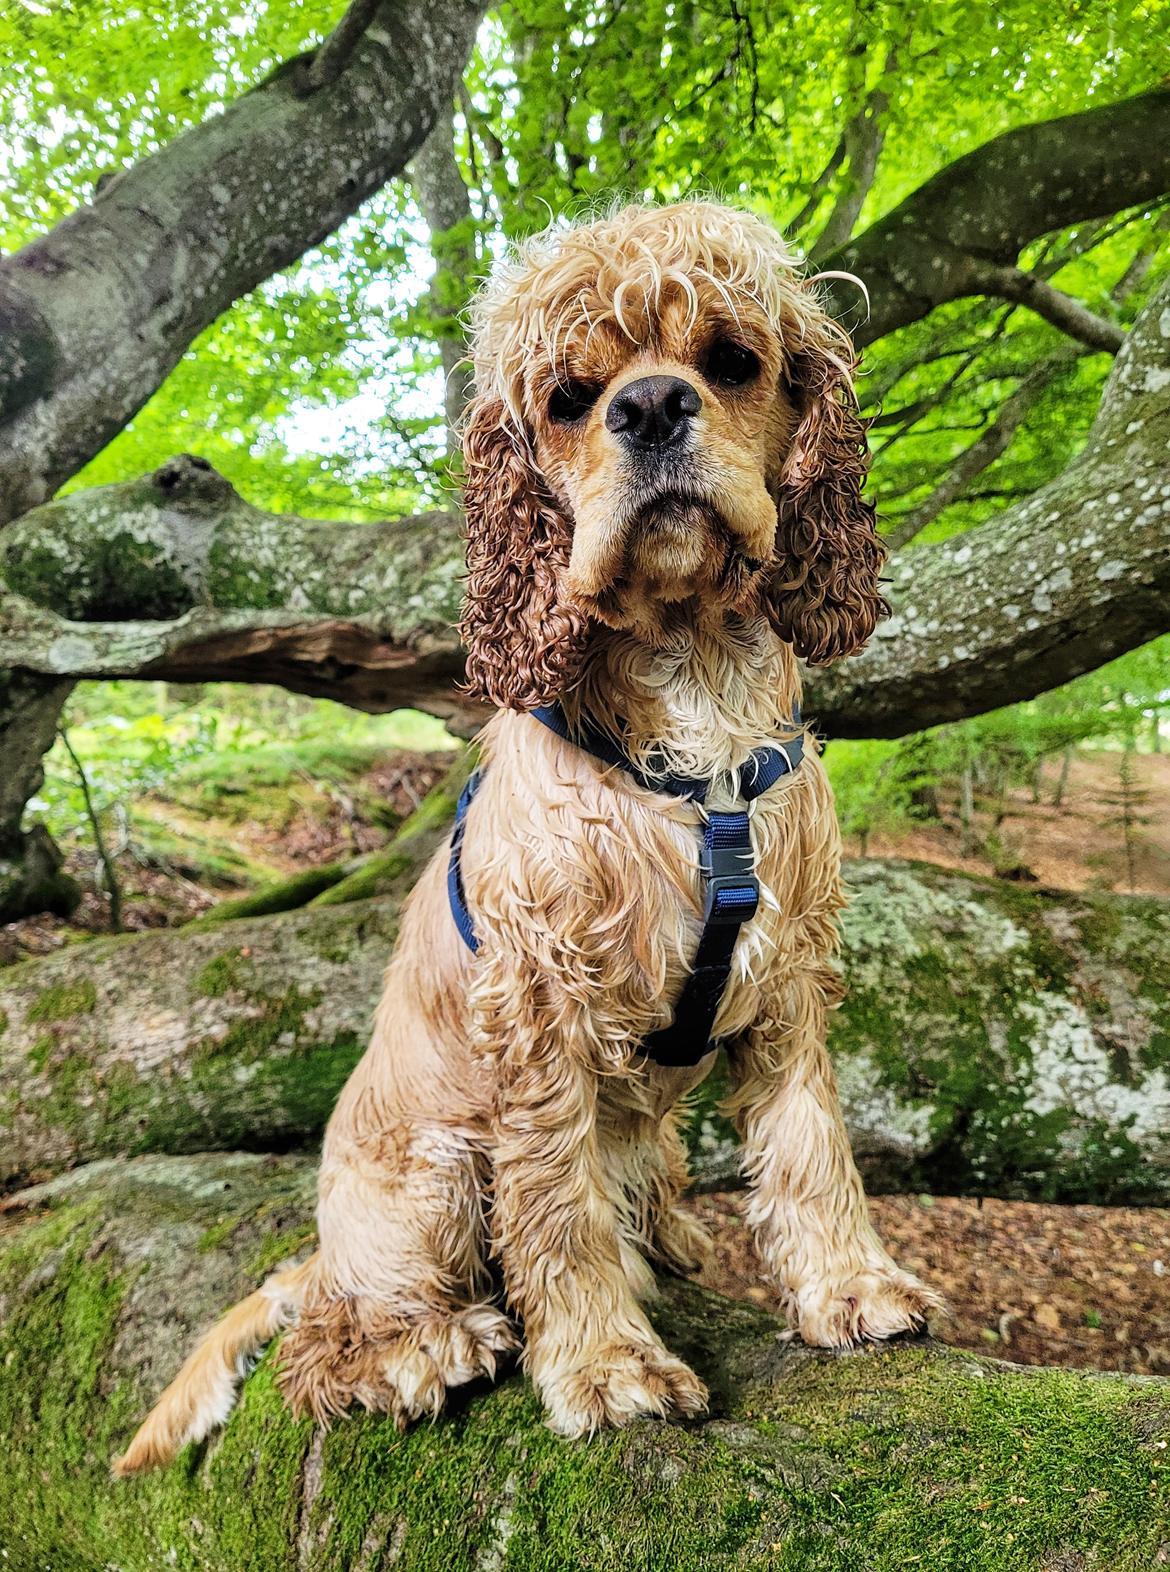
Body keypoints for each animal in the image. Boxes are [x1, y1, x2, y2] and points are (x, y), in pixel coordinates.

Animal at [116, 199, 943, 1471]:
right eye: (567, 397)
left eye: (732, 362)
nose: (649, 408)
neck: (691, 691)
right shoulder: (541, 1004)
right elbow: (557, 1209)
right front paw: (606, 1365)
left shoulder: (791, 975)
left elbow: (810, 1141)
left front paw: (848, 1287)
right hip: (437, 1170)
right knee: (331, 1344)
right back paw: (424, 1346)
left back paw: (669, 1242)